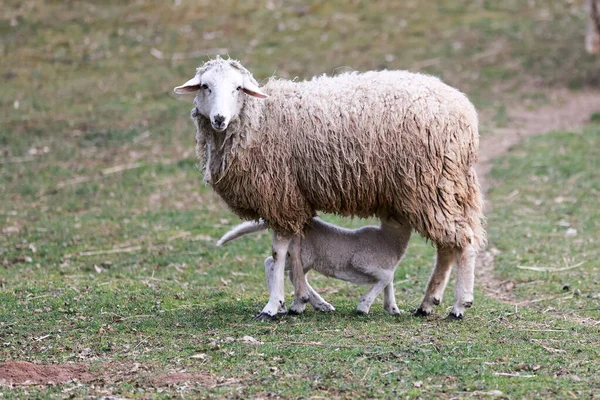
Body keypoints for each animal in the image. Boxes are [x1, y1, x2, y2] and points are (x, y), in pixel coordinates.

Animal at [219, 216, 412, 316]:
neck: (388, 239)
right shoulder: (361, 262)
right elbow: (388, 277)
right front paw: (363, 306)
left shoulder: (384, 266)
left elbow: (389, 281)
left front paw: (393, 309)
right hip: (304, 256)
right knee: (277, 267)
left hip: (302, 257)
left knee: (275, 265)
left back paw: (315, 304)